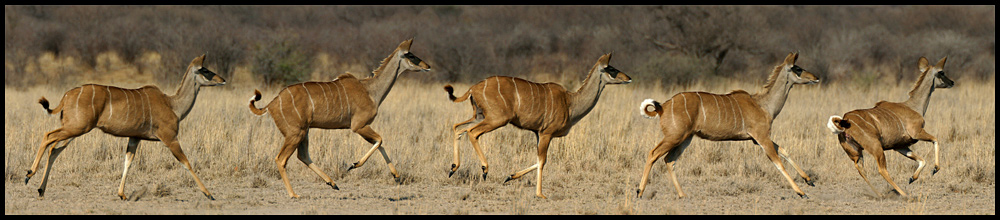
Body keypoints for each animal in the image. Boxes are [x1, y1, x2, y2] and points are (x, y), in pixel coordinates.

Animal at [26, 54, 225, 200]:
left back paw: (41, 190)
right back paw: (29, 174)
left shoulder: (134, 138)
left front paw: (122, 194)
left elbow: (128, 162)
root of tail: (66, 96)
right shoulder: (170, 138)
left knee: (54, 149)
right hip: (76, 128)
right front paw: (209, 194)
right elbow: (186, 162)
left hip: (74, 131)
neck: (173, 105)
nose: (222, 80)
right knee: (48, 136)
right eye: (205, 69)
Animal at [250, 38, 430, 199]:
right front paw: (353, 165)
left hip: (303, 132)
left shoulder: (362, 127)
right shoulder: (358, 126)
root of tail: (272, 104)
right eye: (410, 54)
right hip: (295, 133)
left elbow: (379, 143)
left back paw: (333, 183)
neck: (370, 90)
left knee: (303, 156)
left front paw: (396, 176)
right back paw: (294, 194)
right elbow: (380, 140)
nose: (427, 66)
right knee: (281, 159)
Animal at [446, 52, 632, 199]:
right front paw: (540, 194)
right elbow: (542, 161)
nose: (628, 78)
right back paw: (484, 169)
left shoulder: (538, 133)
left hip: (479, 116)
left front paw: (510, 176)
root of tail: (473, 88)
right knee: (472, 132)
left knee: (458, 127)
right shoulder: (546, 133)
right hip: (496, 119)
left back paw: (453, 168)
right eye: (611, 68)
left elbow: (539, 160)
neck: (570, 103)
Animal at [636, 52, 816, 199]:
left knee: (669, 160)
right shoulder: (762, 138)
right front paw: (801, 192)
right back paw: (639, 192)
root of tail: (663, 107)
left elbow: (784, 151)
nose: (815, 77)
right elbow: (778, 162)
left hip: (685, 139)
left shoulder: (757, 139)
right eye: (797, 68)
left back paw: (682, 195)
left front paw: (809, 180)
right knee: (653, 154)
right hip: (674, 137)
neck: (763, 104)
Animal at [824, 55, 956, 197]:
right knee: (882, 170)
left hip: (855, 153)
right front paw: (935, 169)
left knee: (861, 170)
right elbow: (935, 140)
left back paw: (880, 194)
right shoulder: (917, 132)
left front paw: (912, 178)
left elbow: (922, 160)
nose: (952, 82)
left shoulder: (900, 147)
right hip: (876, 148)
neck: (913, 106)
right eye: (941, 72)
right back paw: (904, 195)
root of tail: (844, 121)